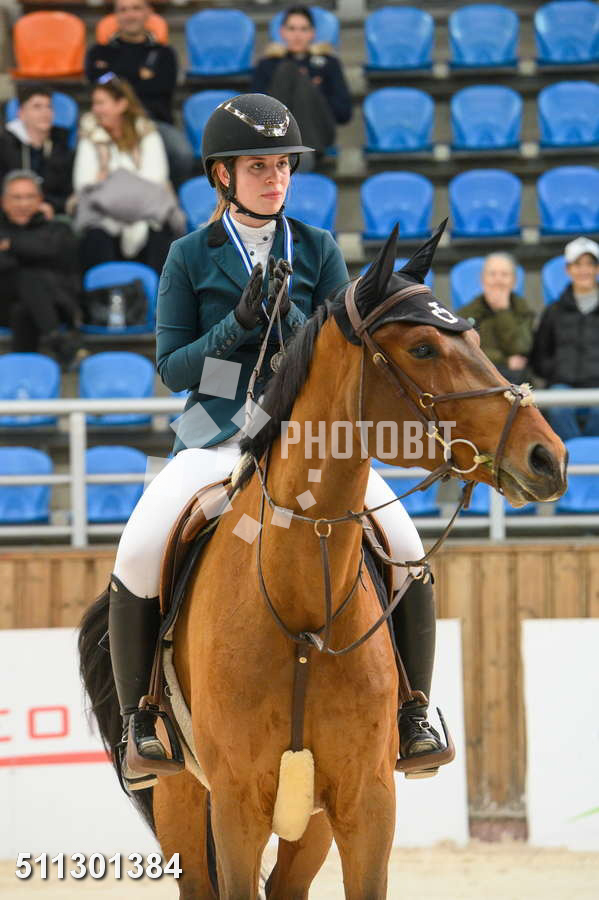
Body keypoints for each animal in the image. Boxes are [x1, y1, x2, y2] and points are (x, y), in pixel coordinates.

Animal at [79, 223, 567, 899]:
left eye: (471, 337)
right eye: (422, 348)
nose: (549, 458)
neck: (303, 606)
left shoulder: (367, 803)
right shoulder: (236, 805)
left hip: (307, 823)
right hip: (183, 799)